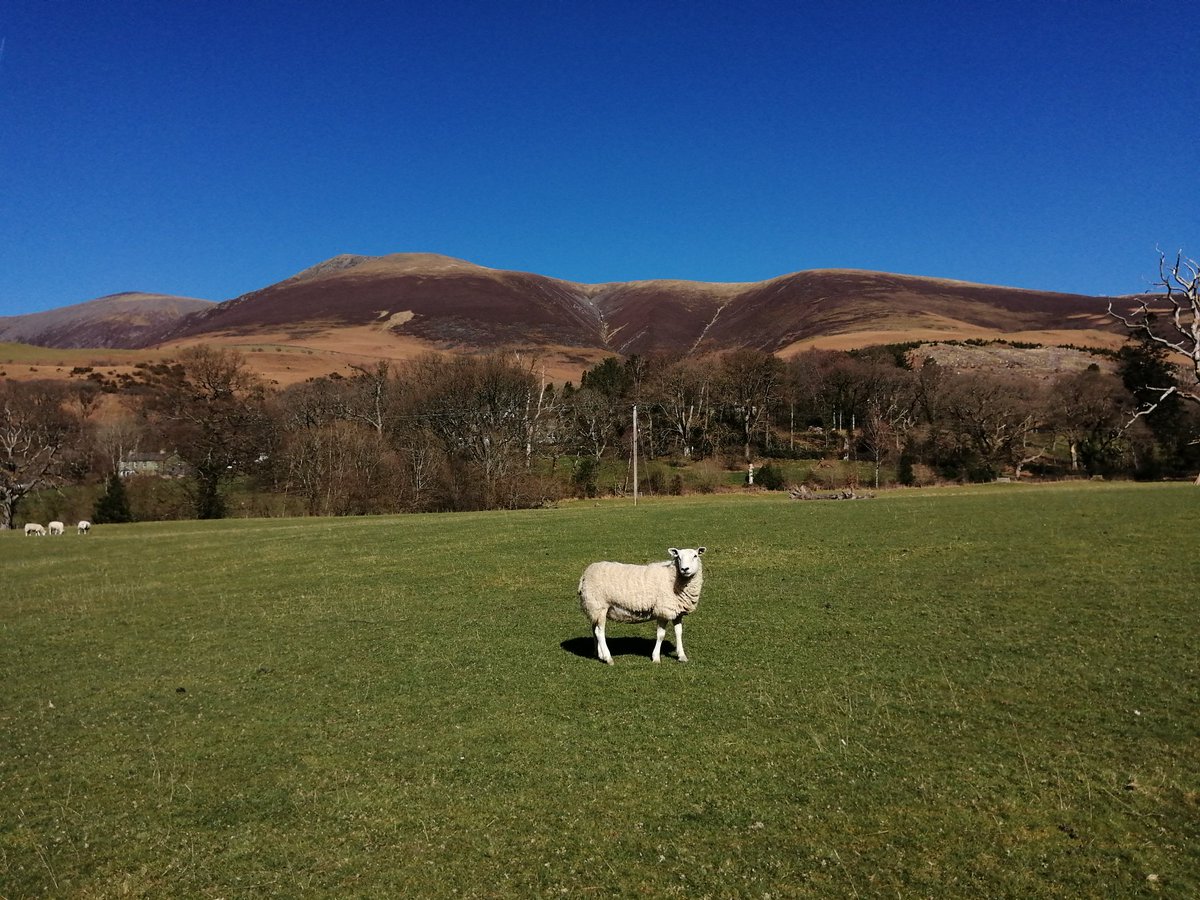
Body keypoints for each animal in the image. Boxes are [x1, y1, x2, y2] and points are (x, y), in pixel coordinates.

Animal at [577, 547, 706, 665]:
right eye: (678, 557)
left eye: (695, 556)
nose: (685, 569)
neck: (673, 578)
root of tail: (584, 575)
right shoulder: (663, 610)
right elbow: (661, 635)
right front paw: (656, 658)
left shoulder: (677, 612)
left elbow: (679, 632)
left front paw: (682, 656)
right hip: (599, 605)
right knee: (600, 632)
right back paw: (608, 658)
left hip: (594, 608)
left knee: (594, 629)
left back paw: (599, 654)